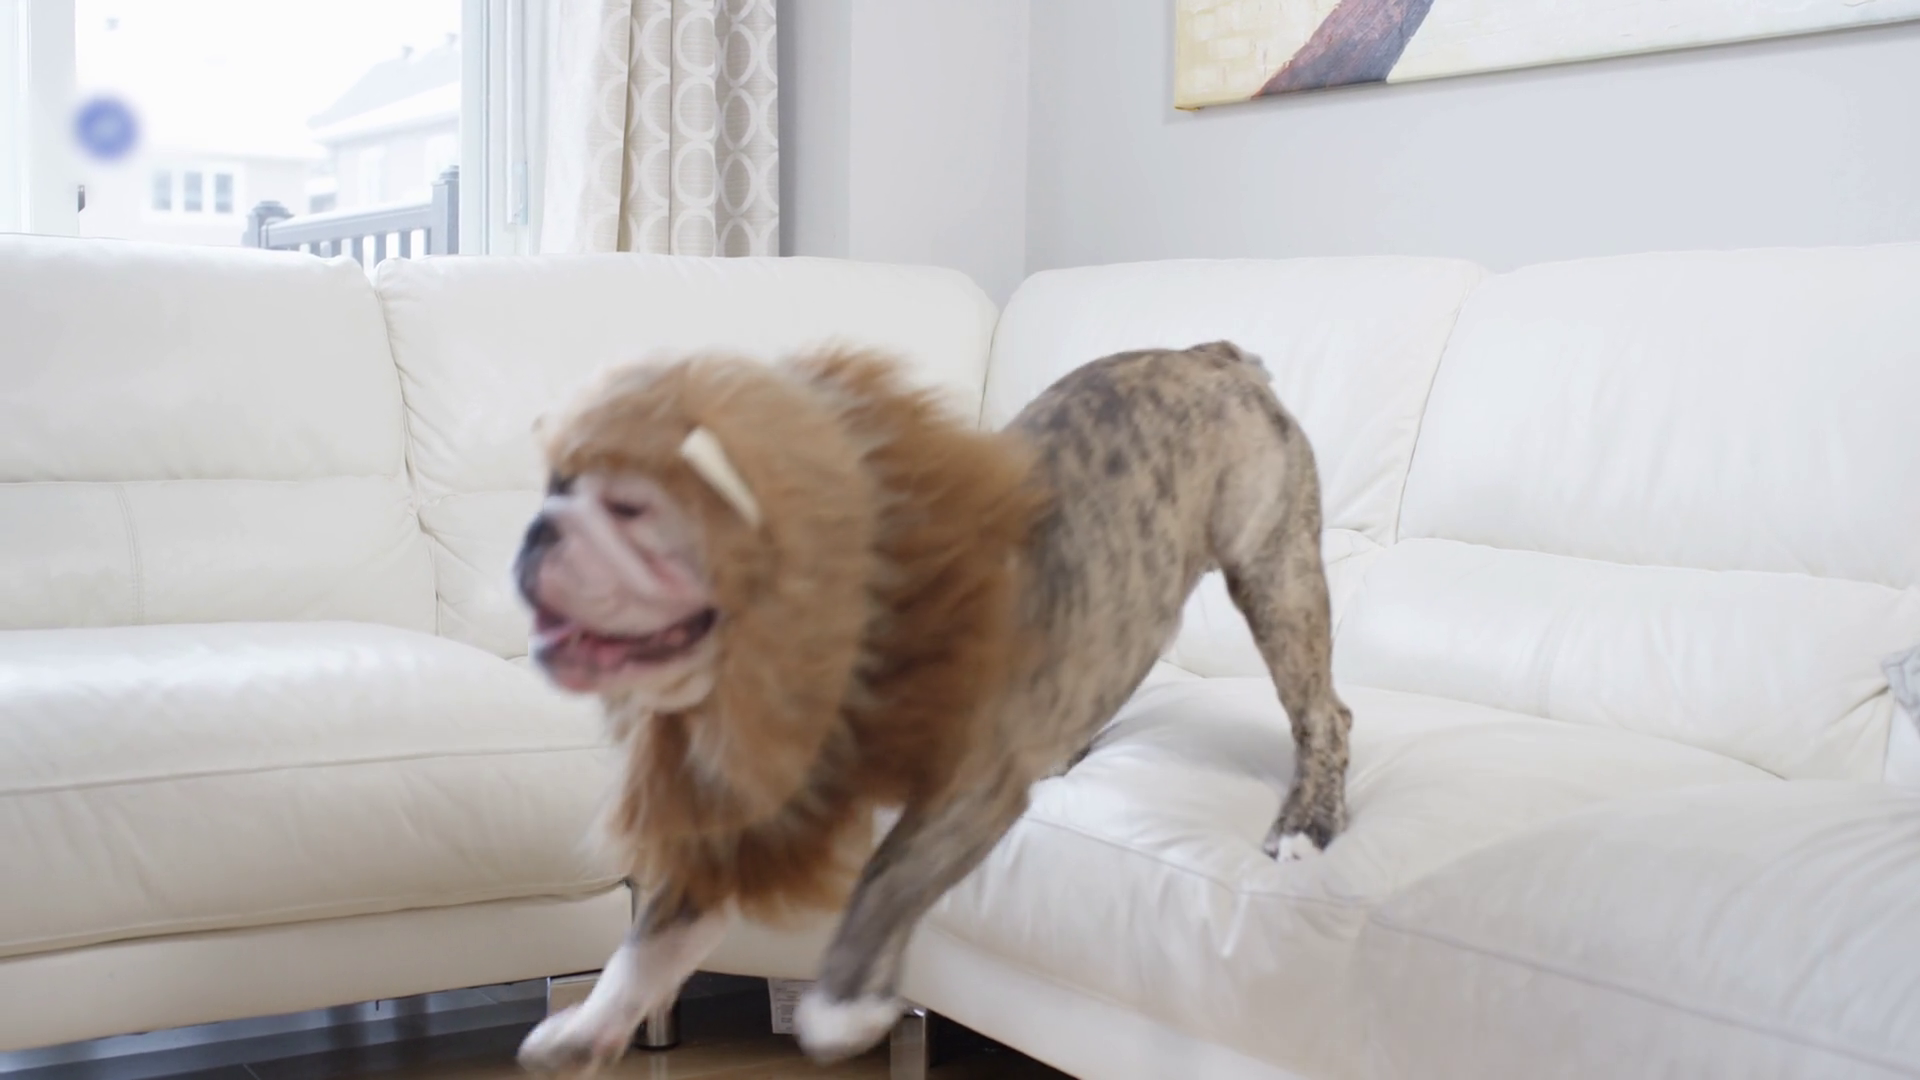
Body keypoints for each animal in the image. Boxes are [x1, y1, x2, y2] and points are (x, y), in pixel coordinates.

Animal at [511, 341, 1351, 1073]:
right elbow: (651, 942)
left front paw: (841, 1008)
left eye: (630, 508)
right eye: (553, 485)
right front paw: (586, 1030)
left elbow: (889, 875)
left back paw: (1306, 824)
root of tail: (1209, 355)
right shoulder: (755, 820)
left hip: (1273, 570)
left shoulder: (966, 786)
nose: (537, 528)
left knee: (1323, 713)